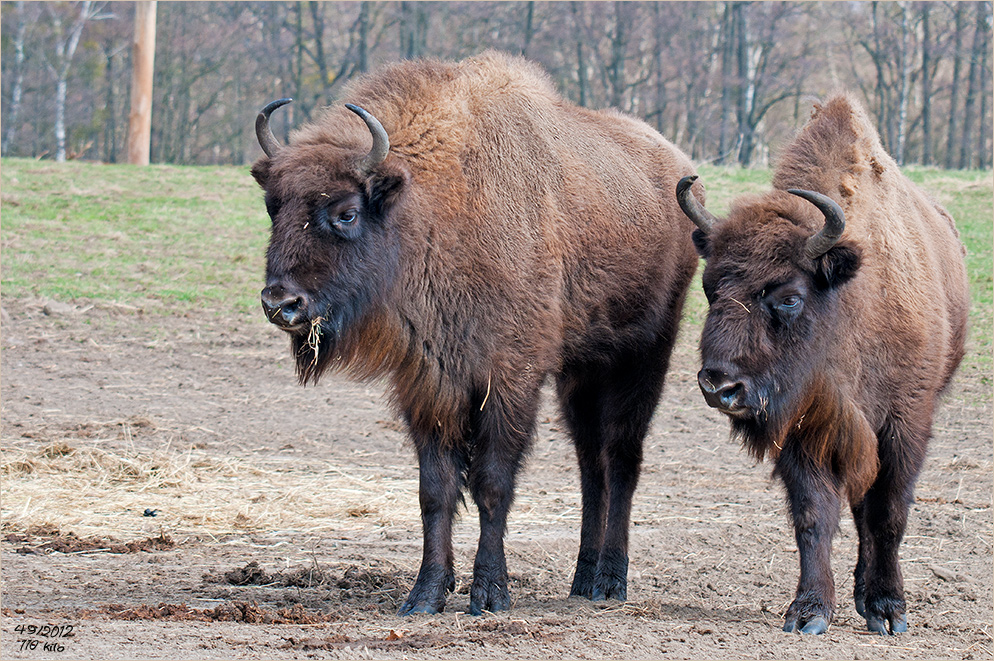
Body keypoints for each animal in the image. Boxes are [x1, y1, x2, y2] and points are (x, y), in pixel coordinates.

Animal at [254, 54, 696, 616]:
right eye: (274, 207)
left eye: (346, 213)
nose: (280, 303)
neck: (436, 204)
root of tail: (677, 165)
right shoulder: (428, 386)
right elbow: (436, 491)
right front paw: (425, 594)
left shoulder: (509, 380)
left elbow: (492, 483)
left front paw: (489, 593)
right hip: (580, 372)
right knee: (590, 465)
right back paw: (581, 578)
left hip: (643, 357)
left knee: (621, 458)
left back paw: (610, 583)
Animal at [680, 93, 964, 636]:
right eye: (709, 288)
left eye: (789, 297)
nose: (719, 386)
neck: (852, 300)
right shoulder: (807, 430)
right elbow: (814, 516)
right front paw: (809, 612)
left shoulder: (906, 423)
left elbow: (889, 513)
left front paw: (888, 610)